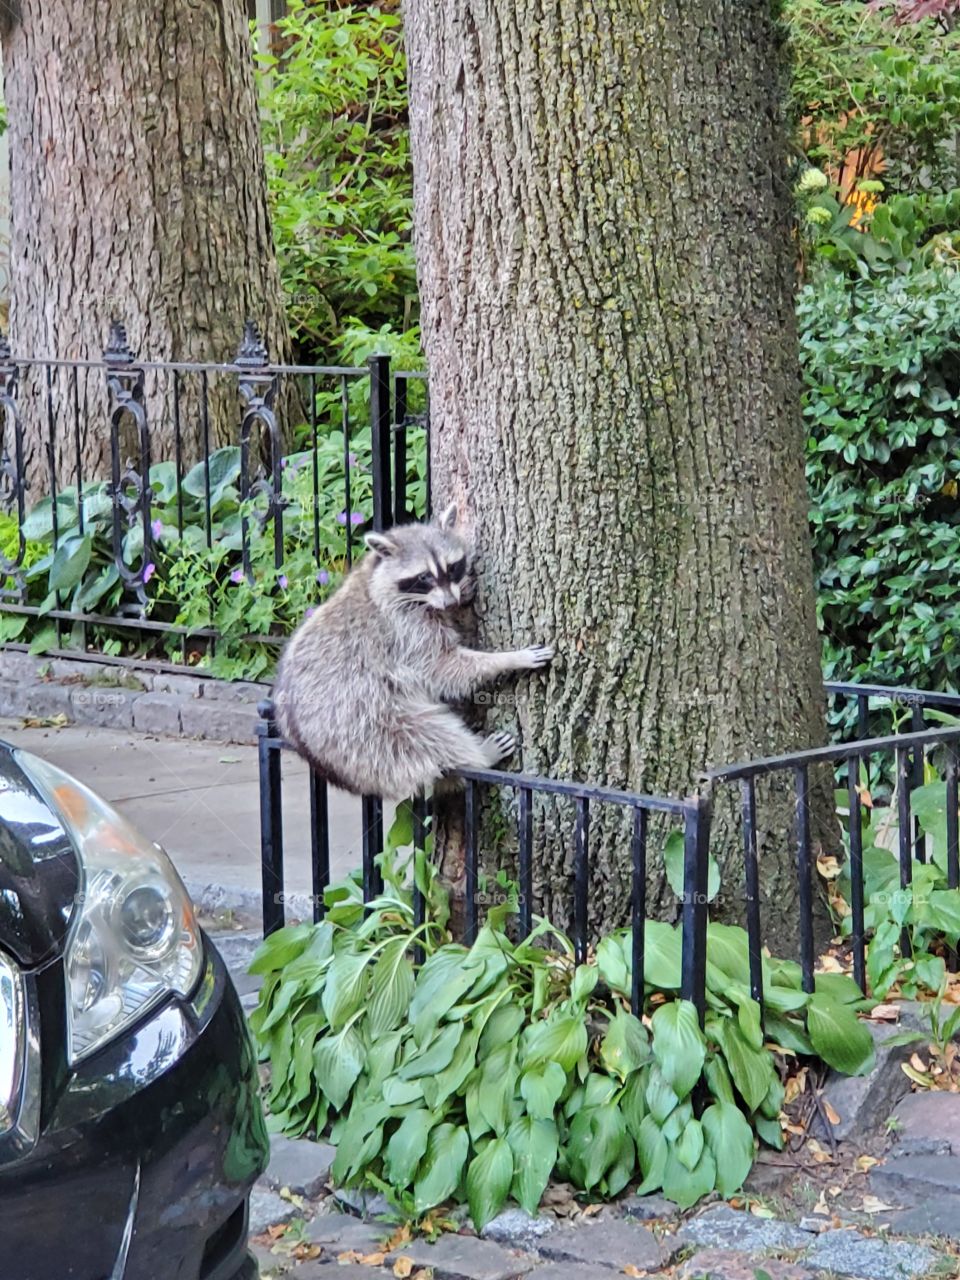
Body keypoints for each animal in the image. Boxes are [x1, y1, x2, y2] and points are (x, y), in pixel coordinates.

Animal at [273, 503, 553, 798]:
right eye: (424, 577)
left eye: (452, 567)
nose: (450, 601)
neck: (378, 574)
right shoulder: (404, 628)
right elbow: (442, 667)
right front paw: (510, 658)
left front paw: (460, 595)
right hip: (360, 727)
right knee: (422, 738)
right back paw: (477, 756)